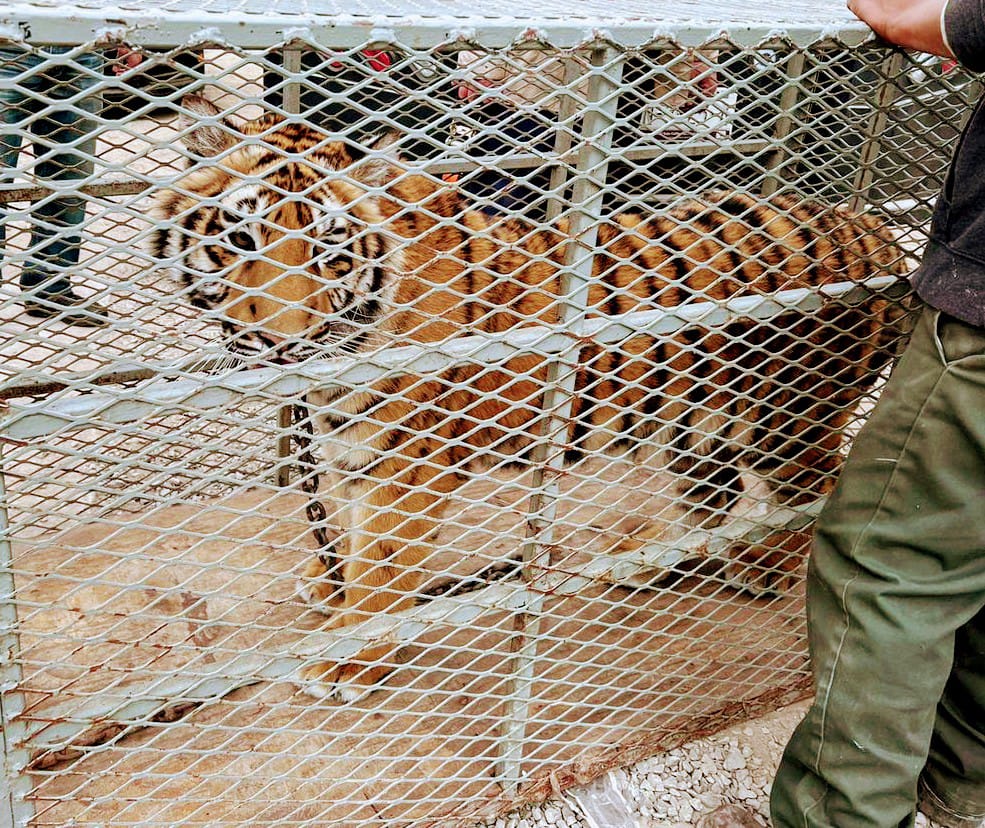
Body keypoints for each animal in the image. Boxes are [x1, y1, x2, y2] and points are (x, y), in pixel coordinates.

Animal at [150, 94, 912, 700]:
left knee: (816, 489)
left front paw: (348, 653)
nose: (279, 344)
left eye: (328, 250)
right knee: (711, 498)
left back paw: (763, 566)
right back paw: (650, 561)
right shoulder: (348, 445)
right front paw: (326, 580)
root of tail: (876, 229)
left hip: (787, 421)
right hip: (697, 420)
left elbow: (383, 562)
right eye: (239, 236)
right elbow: (336, 522)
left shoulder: (408, 465)